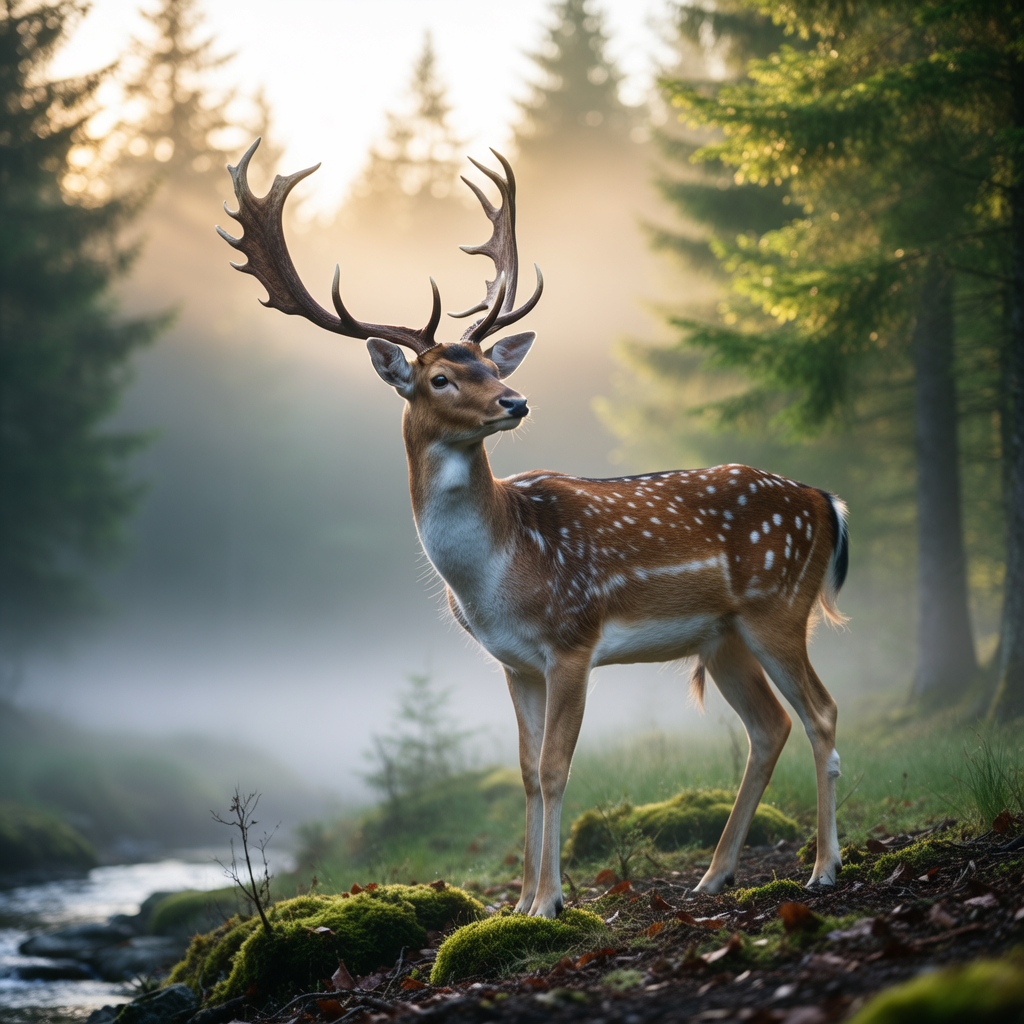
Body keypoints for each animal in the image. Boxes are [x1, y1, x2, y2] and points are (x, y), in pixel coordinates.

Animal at [217, 139, 849, 919]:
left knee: (822, 713)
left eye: (490, 363)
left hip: (776, 604)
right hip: (722, 634)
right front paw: (519, 902)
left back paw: (823, 868)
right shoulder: (513, 661)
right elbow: (521, 769)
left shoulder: (572, 639)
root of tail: (824, 501)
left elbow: (554, 768)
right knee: (769, 727)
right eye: (440, 378)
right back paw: (714, 875)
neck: (497, 574)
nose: (514, 401)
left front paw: (549, 901)